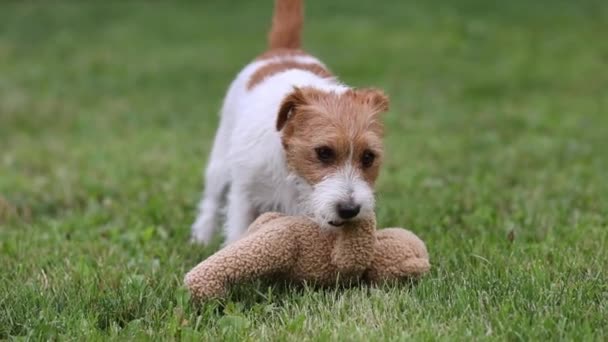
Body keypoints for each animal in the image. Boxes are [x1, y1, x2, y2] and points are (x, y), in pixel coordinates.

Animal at [191, 0, 390, 246]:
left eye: (368, 157)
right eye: (324, 152)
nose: (349, 209)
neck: (291, 166)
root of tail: (285, 49)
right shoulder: (244, 195)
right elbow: (238, 232)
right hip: (220, 164)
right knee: (211, 201)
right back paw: (201, 237)